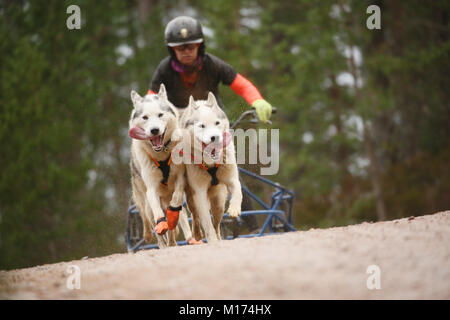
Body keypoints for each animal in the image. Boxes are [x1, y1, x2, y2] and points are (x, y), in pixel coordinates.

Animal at [129, 84, 194, 248]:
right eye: (145, 117)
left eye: (160, 115)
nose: (154, 130)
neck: (162, 155)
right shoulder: (151, 188)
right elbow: (157, 213)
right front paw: (161, 224)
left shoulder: (180, 178)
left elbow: (176, 198)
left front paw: (171, 217)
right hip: (144, 201)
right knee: (150, 219)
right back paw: (161, 241)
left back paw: (173, 240)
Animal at [179, 92, 243, 245]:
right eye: (202, 126)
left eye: (217, 123)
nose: (215, 137)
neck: (211, 165)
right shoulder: (199, 192)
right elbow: (206, 222)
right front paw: (211, 240)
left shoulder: (232, 179)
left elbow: (238, 192)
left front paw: (234, 209)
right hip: (191, 200)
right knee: (196, 217)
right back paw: (197, 235)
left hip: (218, 203)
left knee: (217, 223)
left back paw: (219, 237)